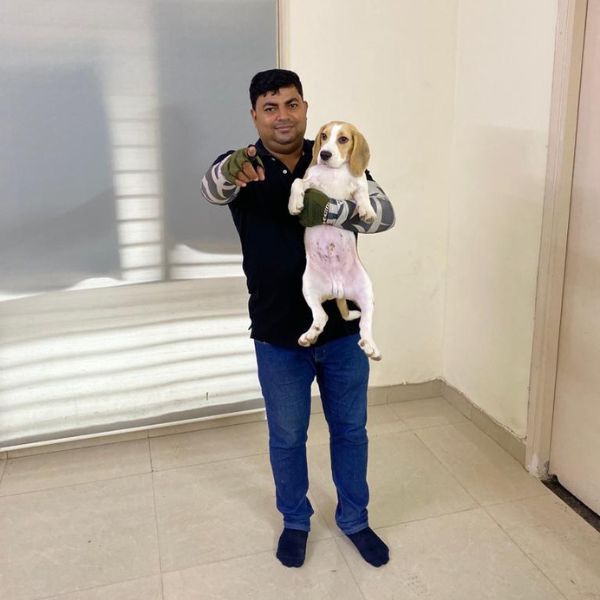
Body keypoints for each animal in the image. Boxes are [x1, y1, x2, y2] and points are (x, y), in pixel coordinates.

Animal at [288, 121, 381, 360]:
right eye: (323, 136)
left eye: (343, 139)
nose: (324, 154)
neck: (335, 171)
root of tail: (338, 289)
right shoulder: (309, 179)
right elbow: (297, 182)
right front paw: (295, 204)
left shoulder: (359, 184)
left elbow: (363, 193)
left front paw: (367, 211)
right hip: (308, 286)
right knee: (322, 317)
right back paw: (309, 335)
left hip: (366, 290)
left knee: (365, 324)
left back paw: (371, 347)